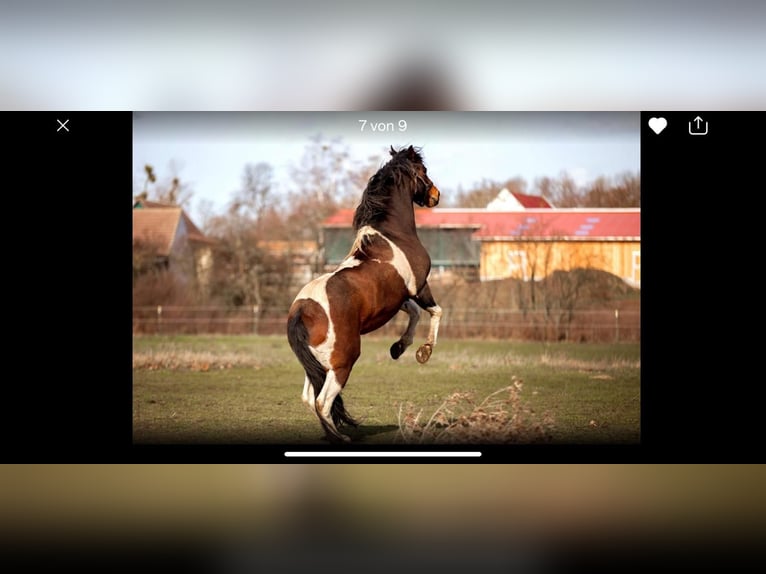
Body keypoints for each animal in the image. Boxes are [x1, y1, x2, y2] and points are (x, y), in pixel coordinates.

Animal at [286, 145, 442, 443]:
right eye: (424, 171)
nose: (435, 195)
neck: (393, 236)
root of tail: (301, 310)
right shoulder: (419, 287)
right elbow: (435, 311)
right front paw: (423, 352)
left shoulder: (398, 299)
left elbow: (415, 313)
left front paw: (398, 348)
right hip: (341, 364)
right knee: (322, 402)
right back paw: (341, 438)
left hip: (317, 366)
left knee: (307, 399)